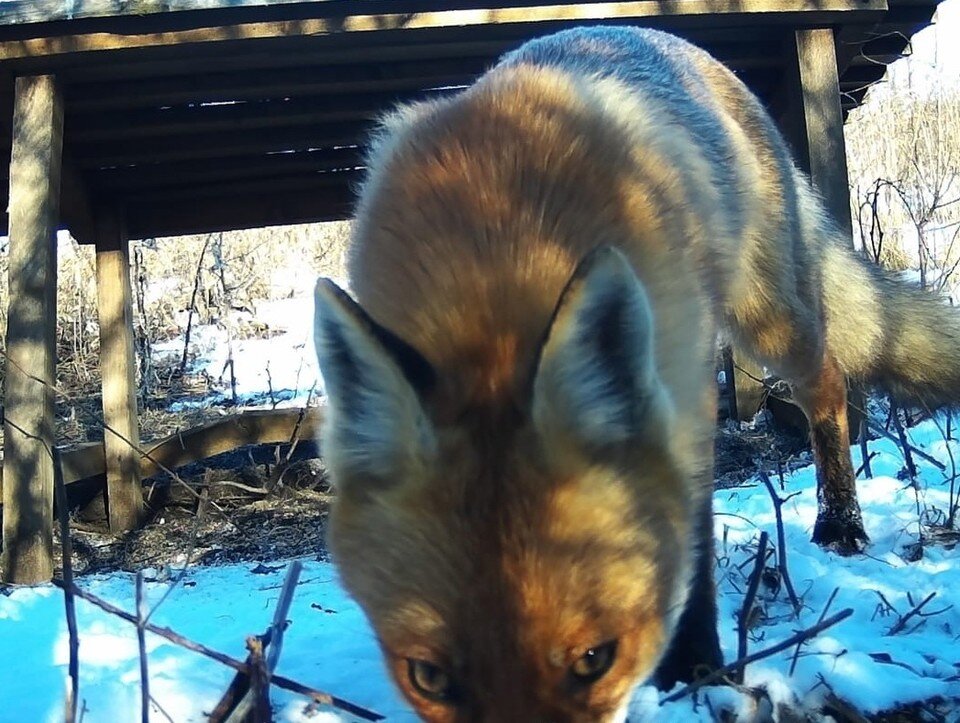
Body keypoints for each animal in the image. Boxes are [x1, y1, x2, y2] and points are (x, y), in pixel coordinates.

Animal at [312, 25, 956, 723]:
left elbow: (691, 547)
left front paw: (696, 670)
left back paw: (840, 521)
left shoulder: (686, 386)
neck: (494, 253)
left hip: (768, 323)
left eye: (596, 659)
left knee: (831, 384)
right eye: (427, 676)